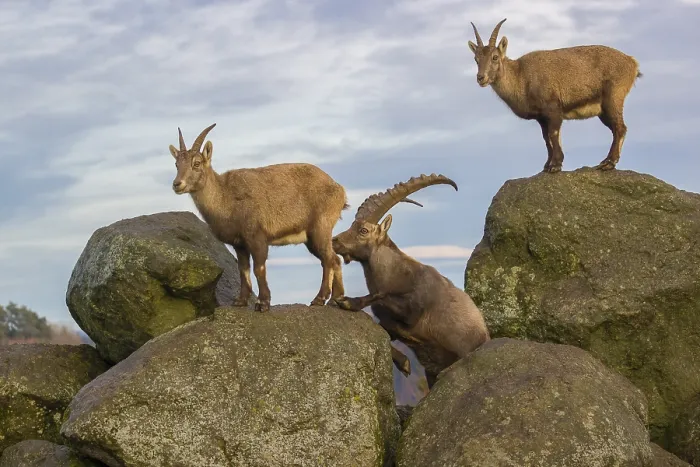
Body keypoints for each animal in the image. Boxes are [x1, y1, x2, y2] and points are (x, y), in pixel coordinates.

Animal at [169, 123, 348, 312]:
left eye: (196, 163)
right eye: (176, 164)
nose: (177, 184)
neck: (225, 196)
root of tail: (339, 189)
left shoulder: (256, 237)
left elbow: (259, 268)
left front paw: (263, 303)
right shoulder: (239, 244)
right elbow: (243, 269)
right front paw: (240, 301)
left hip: (320, 228)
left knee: (328, 259)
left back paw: (319, 299)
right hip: (311, 238)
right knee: (335, 259)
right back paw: (335, 299)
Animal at [330, 174, 490, 387]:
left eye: (363, 230)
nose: (334, 241)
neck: (397, 274)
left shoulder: (414, 313)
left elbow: (382, 301)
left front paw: (347, 301)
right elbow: (385, 324)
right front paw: (404, 362)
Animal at [468, 18, 642, 173]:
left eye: (495, 57)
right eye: (476, 59)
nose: (481, 78)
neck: (521, 76)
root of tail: (632, 63)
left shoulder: (553, 109)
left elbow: (553, 135)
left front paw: (555, 165)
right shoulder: (541, 117)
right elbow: (546, 139)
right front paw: (547, 165)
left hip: (613, 98)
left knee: (620, 128)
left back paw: (608, 163)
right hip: (603, 111)